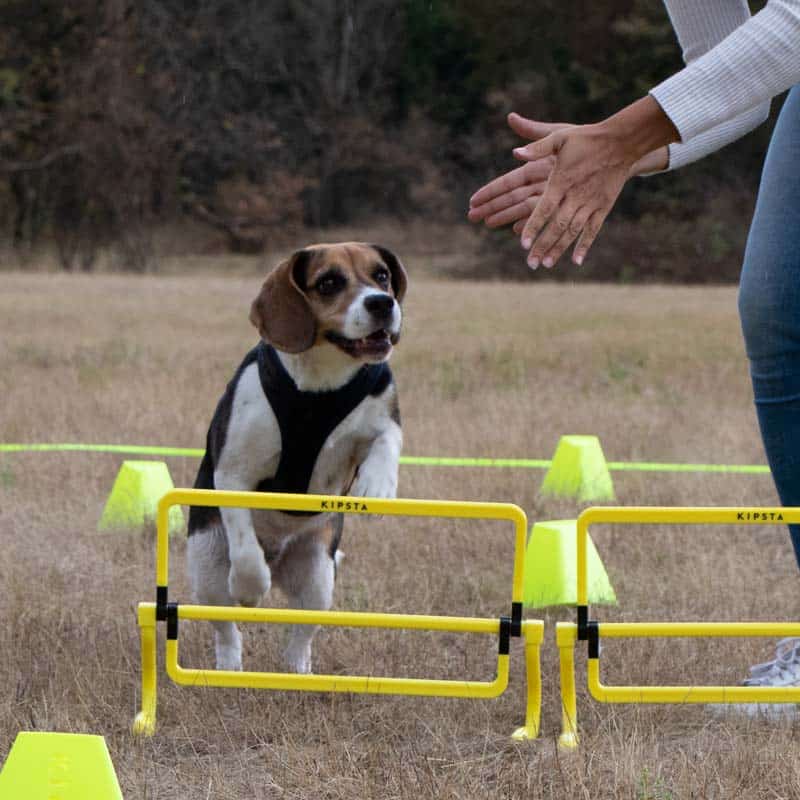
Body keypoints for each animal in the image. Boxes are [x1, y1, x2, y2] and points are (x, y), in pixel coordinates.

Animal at [188, 242, 406, 676]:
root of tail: (279, 560)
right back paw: (229, 664)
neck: (320, 386)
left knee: (301, 633)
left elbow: (387, 437)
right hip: (206, 570)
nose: (382, 302)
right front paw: (251, 587)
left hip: (319, 578)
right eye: (329, 282)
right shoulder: (234, 471)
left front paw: (377, 483)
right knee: (226, 628)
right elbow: (245, 548)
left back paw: (298, 670)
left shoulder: (384, 411)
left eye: (382, 275)